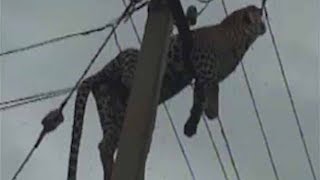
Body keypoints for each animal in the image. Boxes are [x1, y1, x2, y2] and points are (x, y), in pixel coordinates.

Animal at [66, 4, 266, 179]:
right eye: (258, 14)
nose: (264, 21)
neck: (239, 40)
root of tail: (99, 73)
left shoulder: (207, 78)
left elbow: (205, 98)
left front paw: (204, 117)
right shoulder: (202, 65)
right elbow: (203, 94)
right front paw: (201, 117)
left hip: (112, 111)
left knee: (104, 145)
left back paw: (110, 171)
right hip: (128, 60)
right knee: (128, 73)